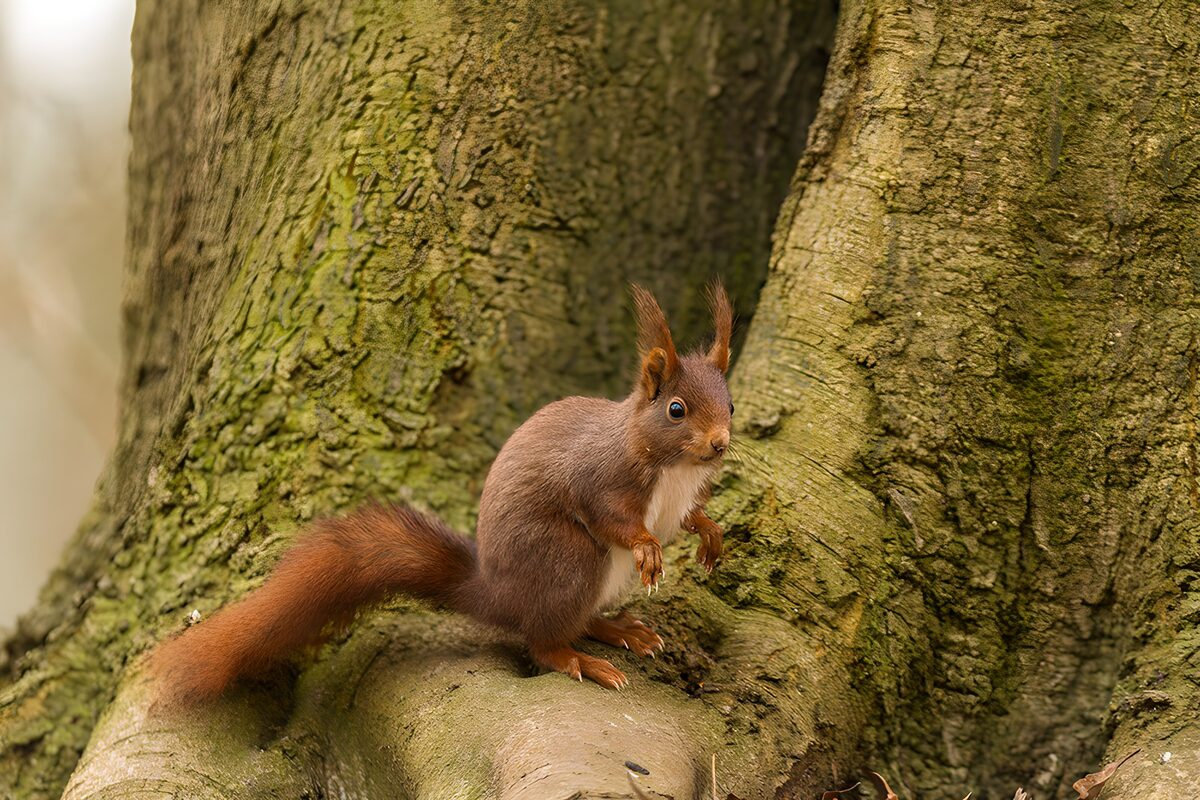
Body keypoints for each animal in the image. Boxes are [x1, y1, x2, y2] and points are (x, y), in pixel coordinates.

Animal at [150, 283, 733, 700]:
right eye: (676, 409)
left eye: (729, 402)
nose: (720, 443)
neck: (673, 466)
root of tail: (497, 595)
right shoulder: (601, 476)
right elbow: (613, 518)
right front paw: (647, 547)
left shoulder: (679, 496)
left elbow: (687, 518)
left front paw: (709, 533)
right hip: (568, 561)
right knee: (544, 643)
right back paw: (582, 660)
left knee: (577, 621)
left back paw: (620, 630)